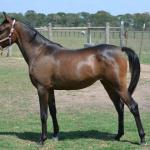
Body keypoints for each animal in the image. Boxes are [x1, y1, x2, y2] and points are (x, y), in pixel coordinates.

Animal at [0, 13, 146, 145]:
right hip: (109, 85)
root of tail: (120, 49)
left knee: (133, 106)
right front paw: (55, 135)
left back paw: (142, 138)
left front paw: (42, 139)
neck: (40, 52)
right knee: (119, 107)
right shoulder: (50, 89)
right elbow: (53, 111)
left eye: (2, 29)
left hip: (119, 86)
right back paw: (118, 136)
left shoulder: (42, 88)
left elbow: (43, 114)